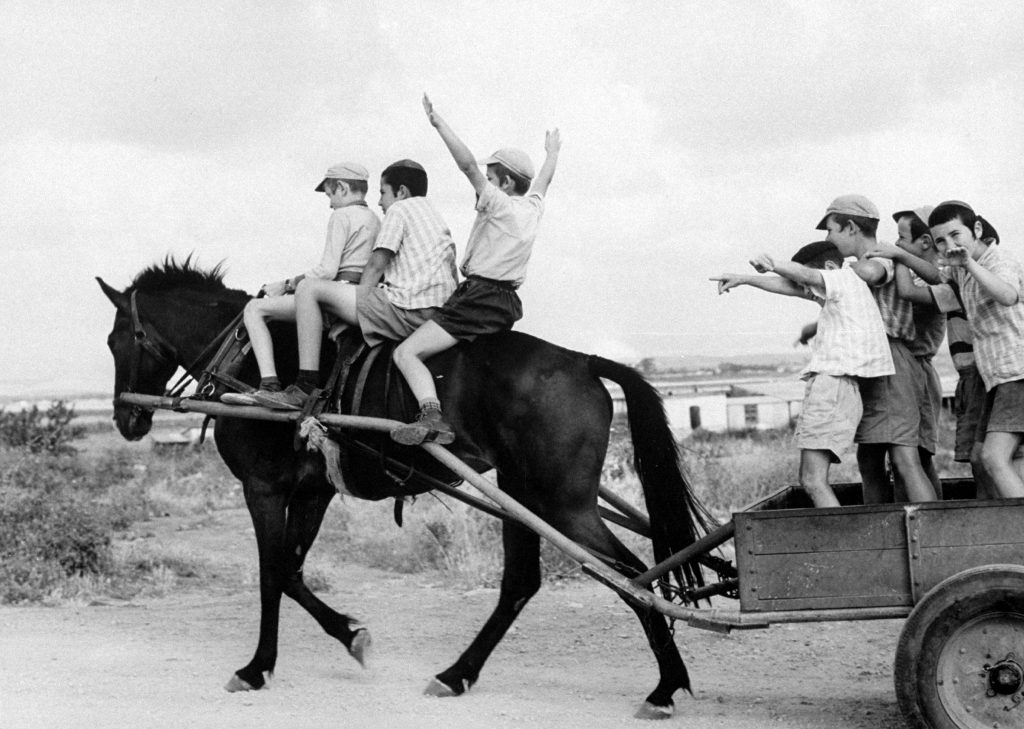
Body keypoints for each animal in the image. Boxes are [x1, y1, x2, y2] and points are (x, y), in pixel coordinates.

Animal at [97, 259, 712, 720]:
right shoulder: (313, 491)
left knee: (633, 576)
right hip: (525, 494)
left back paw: (663, 686)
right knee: (526, 582)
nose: (126, 419)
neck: (251, 361)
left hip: (561, 503)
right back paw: (460, 674)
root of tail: (584, 361)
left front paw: (256, 668)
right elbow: (292, 572)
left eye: (117, 339)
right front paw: (351, 635)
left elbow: (272, 574)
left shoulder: (264, 488)